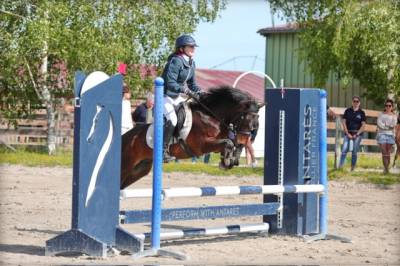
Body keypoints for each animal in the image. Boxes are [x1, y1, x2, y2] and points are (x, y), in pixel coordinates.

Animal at [121, 85, 266, 189]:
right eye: (244, 119)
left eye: (255, 124)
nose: (243, 141)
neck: (211, 116)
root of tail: (124, 138)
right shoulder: (202, 145)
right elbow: (228, 143)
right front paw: (226, 162)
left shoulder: (218, 143)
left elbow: (230, 143)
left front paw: (229, 161)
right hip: (126, 165)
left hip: (140, 169)